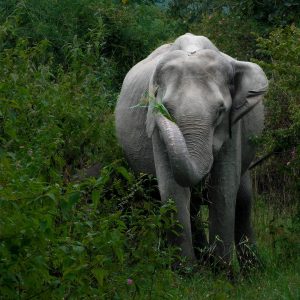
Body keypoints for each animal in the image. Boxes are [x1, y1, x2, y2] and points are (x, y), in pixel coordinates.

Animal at [114, 33, 268, 270]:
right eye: (166, 108)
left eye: (221, 110)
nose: (155, 103)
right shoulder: (157, 134)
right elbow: (172, 190)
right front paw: (187, 271)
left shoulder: (233, 126)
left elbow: (223, 190)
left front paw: (222, 271)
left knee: (244, 199)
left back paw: (252, 270)